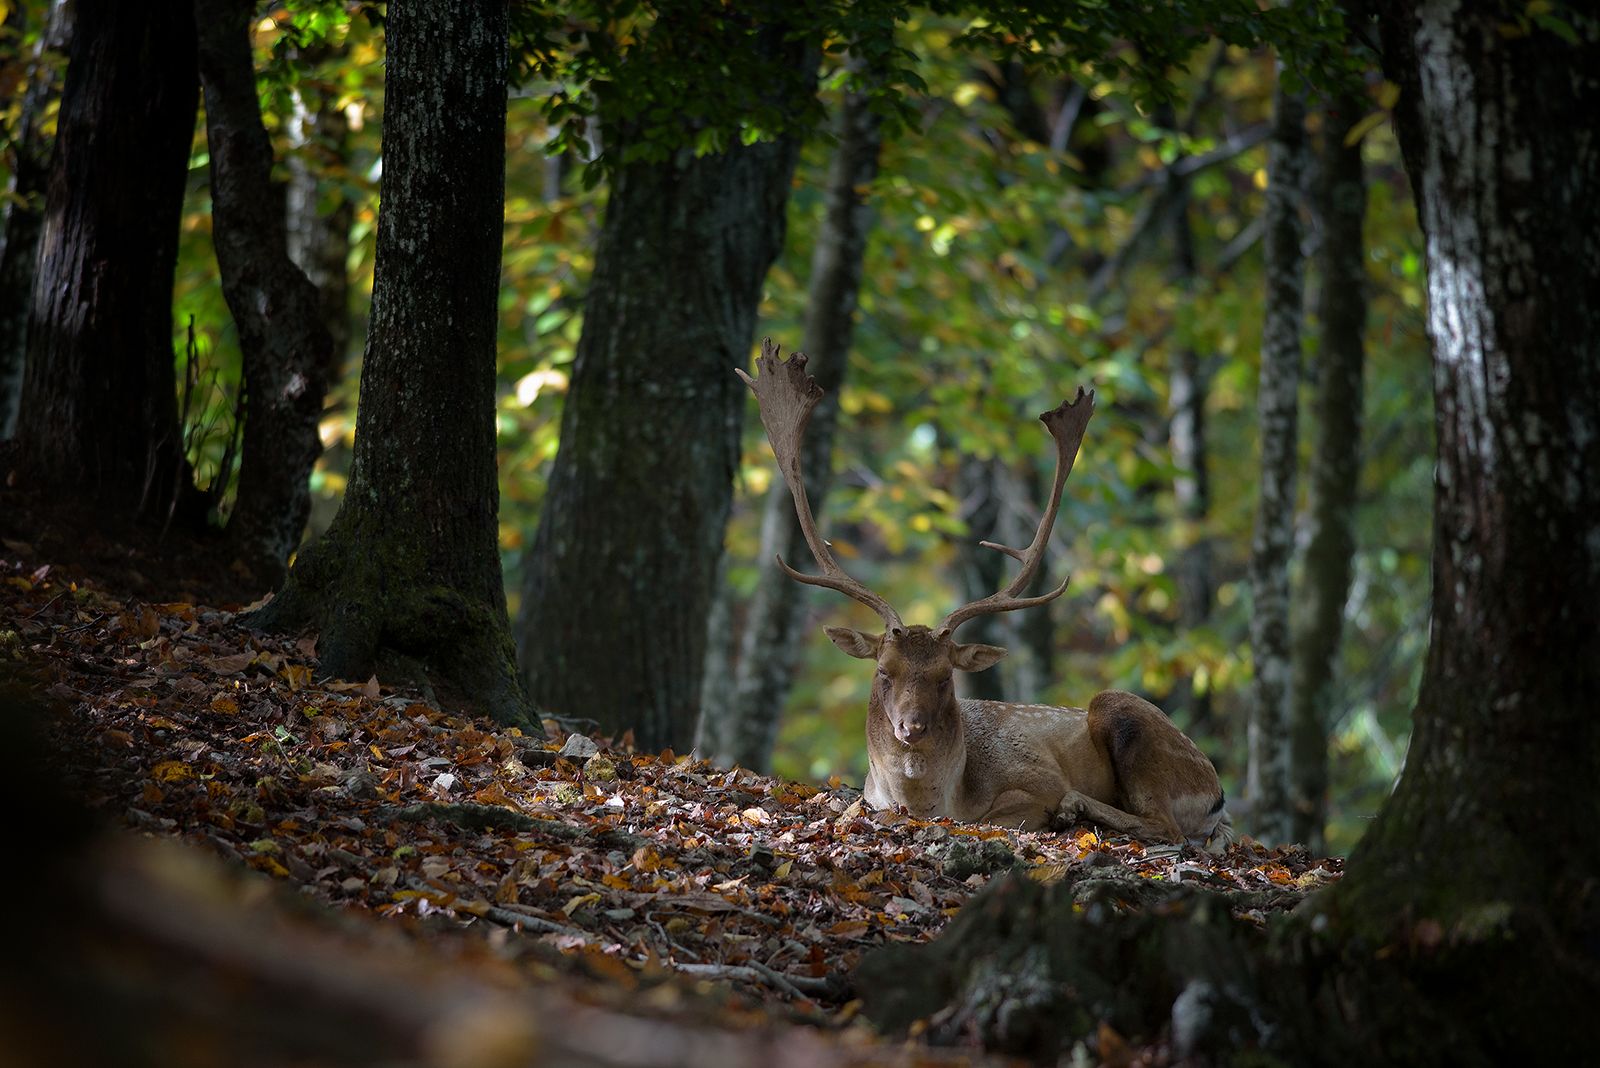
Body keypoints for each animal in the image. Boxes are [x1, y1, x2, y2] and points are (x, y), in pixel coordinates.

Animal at [742, 337, 1228, 844]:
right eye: (883, 671)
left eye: (945, 676)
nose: (911, 728)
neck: (939, 798)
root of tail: (1218, 797)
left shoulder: (1034, 782)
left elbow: (1005, 814)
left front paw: (1060, 808)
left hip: (1126, 715)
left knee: (1167, 827)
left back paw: (1076, 808)